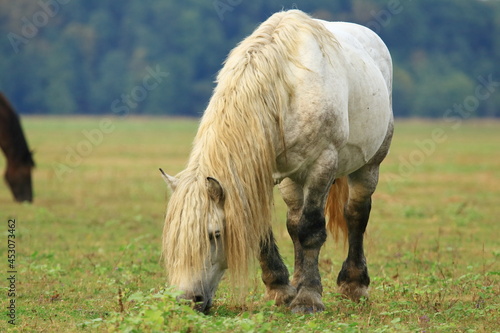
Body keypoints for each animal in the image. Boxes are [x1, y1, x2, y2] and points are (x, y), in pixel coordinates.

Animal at [162, 9, 392, 312]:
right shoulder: (265, 173)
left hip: (368, 165)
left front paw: (308, 298)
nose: (188, 300)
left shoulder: (322, 165)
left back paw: (354, 284)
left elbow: (311, 230)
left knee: (355, 214)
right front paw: (281, 289)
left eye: (215, 234)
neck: (284, 88)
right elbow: (272, 228)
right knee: (295, 222)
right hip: (291, 180)